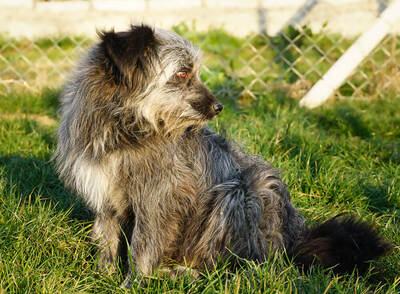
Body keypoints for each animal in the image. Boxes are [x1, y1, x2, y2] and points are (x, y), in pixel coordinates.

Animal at [51, 24, 390, 284]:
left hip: (244, 191)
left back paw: (185, 273)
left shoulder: (160, 198)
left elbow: (142, 246)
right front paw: (103, 276)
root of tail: (292, 241)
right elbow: (107, 240)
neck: (124, 127)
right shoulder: (106, 196)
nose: (218, 107)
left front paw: (134, 283)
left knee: (240, 264)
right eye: (183, 74)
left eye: (193, 72)